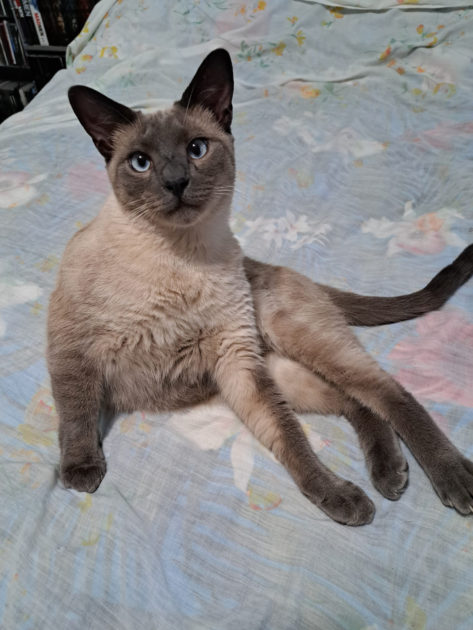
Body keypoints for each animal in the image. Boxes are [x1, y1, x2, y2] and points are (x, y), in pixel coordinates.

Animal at [47, 49, 472, 524]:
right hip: (286, 371)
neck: (179, 255)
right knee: (356, 402)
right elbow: (76, 412)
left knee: (389, 392)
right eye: (141, 162)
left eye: (196, 149)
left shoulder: (236, 358)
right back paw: (387, 475)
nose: (176, 183)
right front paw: (81, 472)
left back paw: (452, 478)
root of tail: (290, 273)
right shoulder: (72, 348)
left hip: (300, 340)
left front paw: (337, 496)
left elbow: (292, 441)